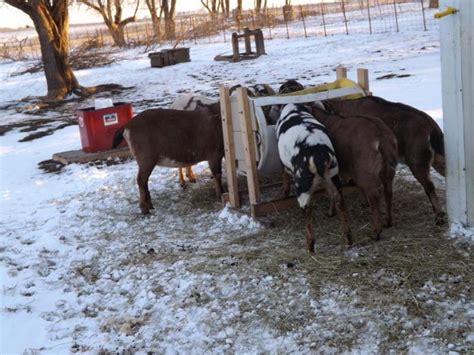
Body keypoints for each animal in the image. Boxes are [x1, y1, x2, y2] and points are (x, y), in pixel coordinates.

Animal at [274, 103, 352, 253]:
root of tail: (317, 154)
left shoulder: (283, 165)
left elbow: (284, 177)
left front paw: (284, 193)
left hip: (302, 187)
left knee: (308, 213)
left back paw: (310, 248)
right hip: (333, 177)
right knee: (340, 203)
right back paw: (348, 240)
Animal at [312, 104, 400, 241]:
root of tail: (382, 138)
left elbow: (332, 191)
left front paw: (331, 212)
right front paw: (363, 203)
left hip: (366, 170)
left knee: (374, 195)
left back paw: (376, 232)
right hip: (387, 170)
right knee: (388, 192)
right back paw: (387, 222)